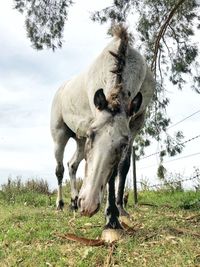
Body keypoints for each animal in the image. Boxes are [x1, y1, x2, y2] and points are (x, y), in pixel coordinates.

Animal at [50, 25, 155, 236]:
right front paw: (111, 218)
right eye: (92, 134)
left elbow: (122, 167)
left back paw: (73, 202)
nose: (87, 205)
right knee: (59, 169)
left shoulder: (135, 125)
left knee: (72, 165)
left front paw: (119, 210)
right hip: (60, 135)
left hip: (79, 140)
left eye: (123, 143)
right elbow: (110, 176)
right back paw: (61, 204)